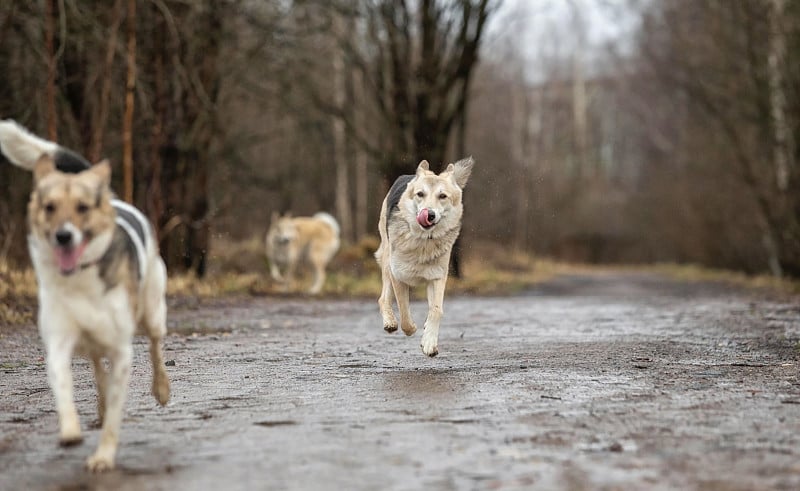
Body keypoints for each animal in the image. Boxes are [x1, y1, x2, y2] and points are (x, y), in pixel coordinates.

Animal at [0, 121, 169, 474]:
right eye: (49, 207)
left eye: (82, 208)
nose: (63, 236)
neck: (79, 278)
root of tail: (114, 199)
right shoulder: (59, 342)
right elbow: (63, 386)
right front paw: (70, 431)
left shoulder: (121, 352)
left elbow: (116, 415)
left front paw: (103, 457)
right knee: (97, 370)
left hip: (153, 312)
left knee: (156, 347)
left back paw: (161, 389)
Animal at [376, 158, 472, 358]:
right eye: (420, 194)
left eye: (442, 196)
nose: (429, 214)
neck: (422, 242)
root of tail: (408, 175)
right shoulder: (398, 276)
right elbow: (404, 311)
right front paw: (411, 328)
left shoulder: (437, 277)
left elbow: (436, 310)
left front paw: (429, 343)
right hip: (387, 262)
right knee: (383, 298)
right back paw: (390, 322)